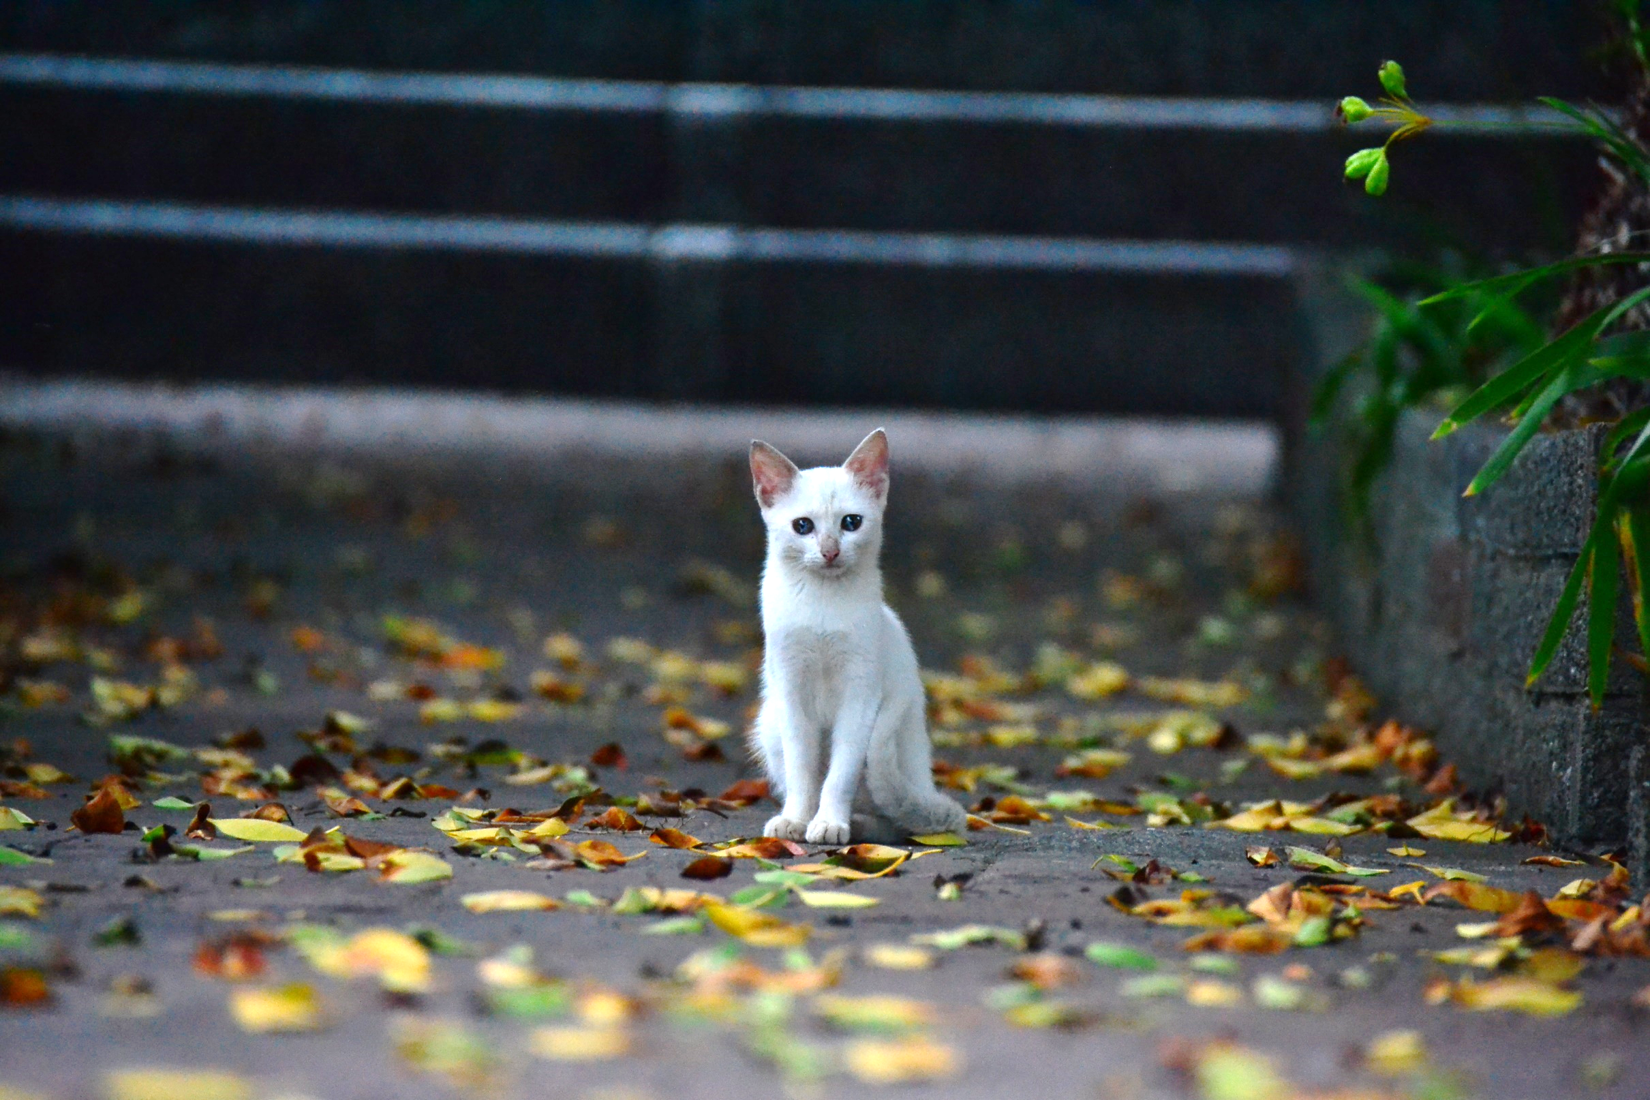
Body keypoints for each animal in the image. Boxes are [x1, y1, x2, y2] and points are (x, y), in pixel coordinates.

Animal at [747, 428, 967, 845]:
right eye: (803, 526)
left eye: (851, 522)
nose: (830, 551)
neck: (823, 603)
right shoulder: (791, 690)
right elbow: (802, 771)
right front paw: (795, 819)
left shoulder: (860, 696)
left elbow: (841, 773)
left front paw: (830, 822)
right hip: (769, 722)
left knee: (893, 821)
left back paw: (855, 824)